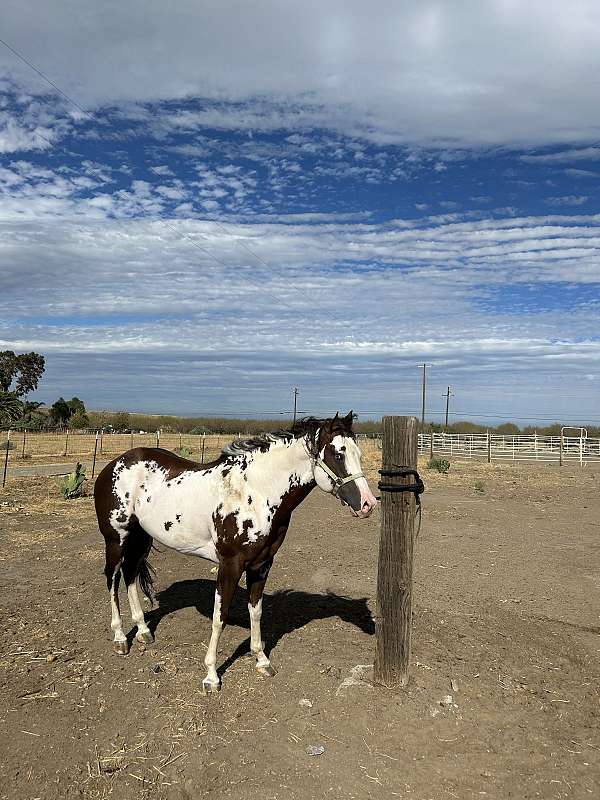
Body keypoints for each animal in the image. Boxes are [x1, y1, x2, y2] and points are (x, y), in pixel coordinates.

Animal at [93, 412, 376, 692]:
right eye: (338, 454)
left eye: (358, 453)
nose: (368, 504)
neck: (256, 492)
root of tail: (115, 464)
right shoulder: (230, 565)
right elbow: (220, 616)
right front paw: (211, 676)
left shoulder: (262, 565)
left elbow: (256, 611)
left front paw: (262, 661)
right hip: (115, 540)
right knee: (112, 579)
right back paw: (120, 638)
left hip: (140, 538)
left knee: (130, 574)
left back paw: (143, 631)